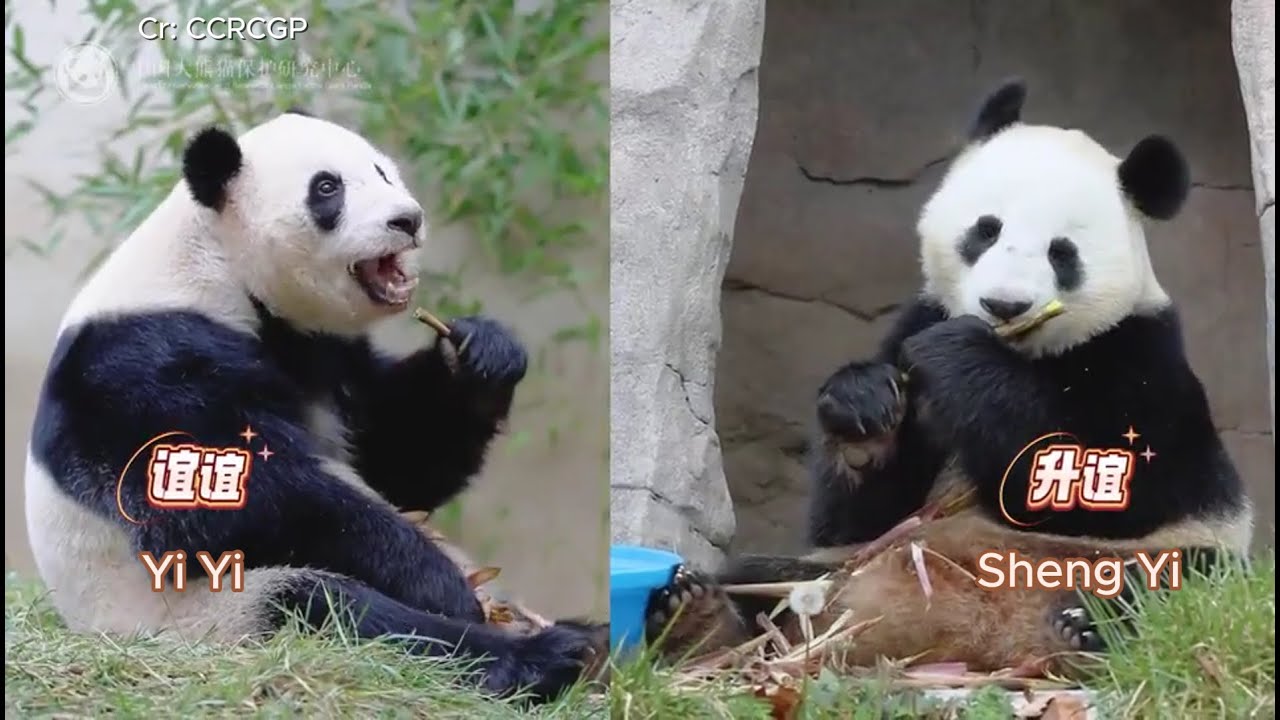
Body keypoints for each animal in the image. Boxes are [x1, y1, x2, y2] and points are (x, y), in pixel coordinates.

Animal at [24, 110, 605, 702]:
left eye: (383, 171)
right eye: (328, 188)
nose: (407, 220)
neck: (216, 264)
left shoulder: (326, 354)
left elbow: (398, 457)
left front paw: (482, 354)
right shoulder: (141, 363)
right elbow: (238, 501)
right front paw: (438, 583)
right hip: (203, 616)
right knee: (329, 609)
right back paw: (541, 655)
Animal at [644, 79, 1254, 674]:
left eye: (1062, 252)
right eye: (986, 230)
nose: (1004, 305)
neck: (1024, 351)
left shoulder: (1142, 354)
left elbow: (1122, 482)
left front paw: (960, 359)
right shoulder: (918, 319)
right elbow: (854, 516)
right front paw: (864, 406)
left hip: (1174, 559)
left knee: (1186, 591)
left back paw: (1090, 625)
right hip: (838, 568)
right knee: (757, 579)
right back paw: (696, 618)